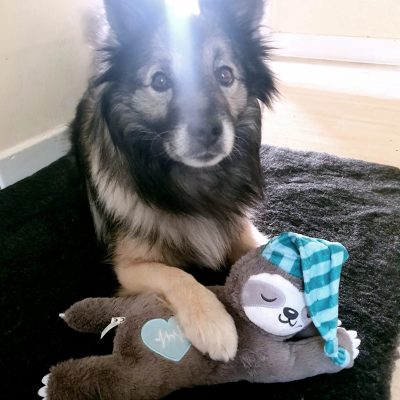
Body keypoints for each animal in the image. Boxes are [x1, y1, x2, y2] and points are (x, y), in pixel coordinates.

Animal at [71, 0, 276, 362]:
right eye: (160, 80)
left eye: (225, 74)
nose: (207, 131)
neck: (192, 181)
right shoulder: (130, 265)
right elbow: (178, 275)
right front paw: (212, 322)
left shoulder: (239, 228)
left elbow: (265, 252)